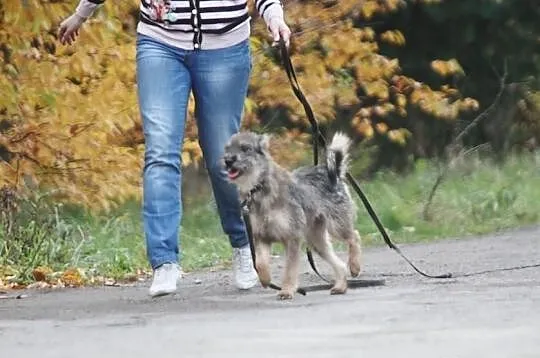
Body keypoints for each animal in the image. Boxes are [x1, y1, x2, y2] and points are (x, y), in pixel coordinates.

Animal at [221, 131, 360, 300]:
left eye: (245, 148)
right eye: (227, 149)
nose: (228, 160)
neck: (259, 189)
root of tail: (332, 172)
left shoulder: (292, 238)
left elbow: (290, 269)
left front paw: (286, 290)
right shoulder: (261, 237)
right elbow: (260, 263)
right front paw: (265, 279)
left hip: (337, 226)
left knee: (354, 236)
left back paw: (354, 266)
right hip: (316, 241)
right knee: (339, 264)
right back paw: (340, 286)